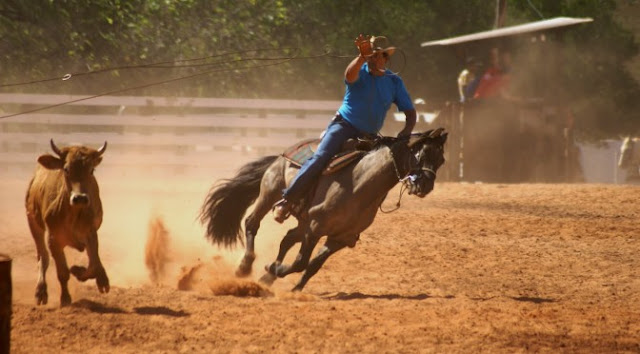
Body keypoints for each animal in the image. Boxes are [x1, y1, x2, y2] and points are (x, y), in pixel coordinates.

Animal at [25, 140, 109, 306]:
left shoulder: (91, 233)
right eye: (66, 169)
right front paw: (65, 298)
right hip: (33, 223)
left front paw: (78, 270)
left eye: (91, 170)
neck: (74, 215)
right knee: (43, 257)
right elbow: (62, 272)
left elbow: (93, 265)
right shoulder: (53, 240)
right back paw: (41, 291)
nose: (80, 198)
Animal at [199, 128, 444, 290]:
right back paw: (245, 267)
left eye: (441, 159)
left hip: (302, 221)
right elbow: (301, 262)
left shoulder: (342, 238)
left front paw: (293, 287)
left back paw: (266, 278)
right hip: (270, 194)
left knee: (287, 238)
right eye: (420, 154)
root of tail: (282, 155)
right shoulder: (315, 229)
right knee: (252, 223)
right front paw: (273, 269)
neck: (359, 184)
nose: (425, 186)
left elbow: (313, 266)